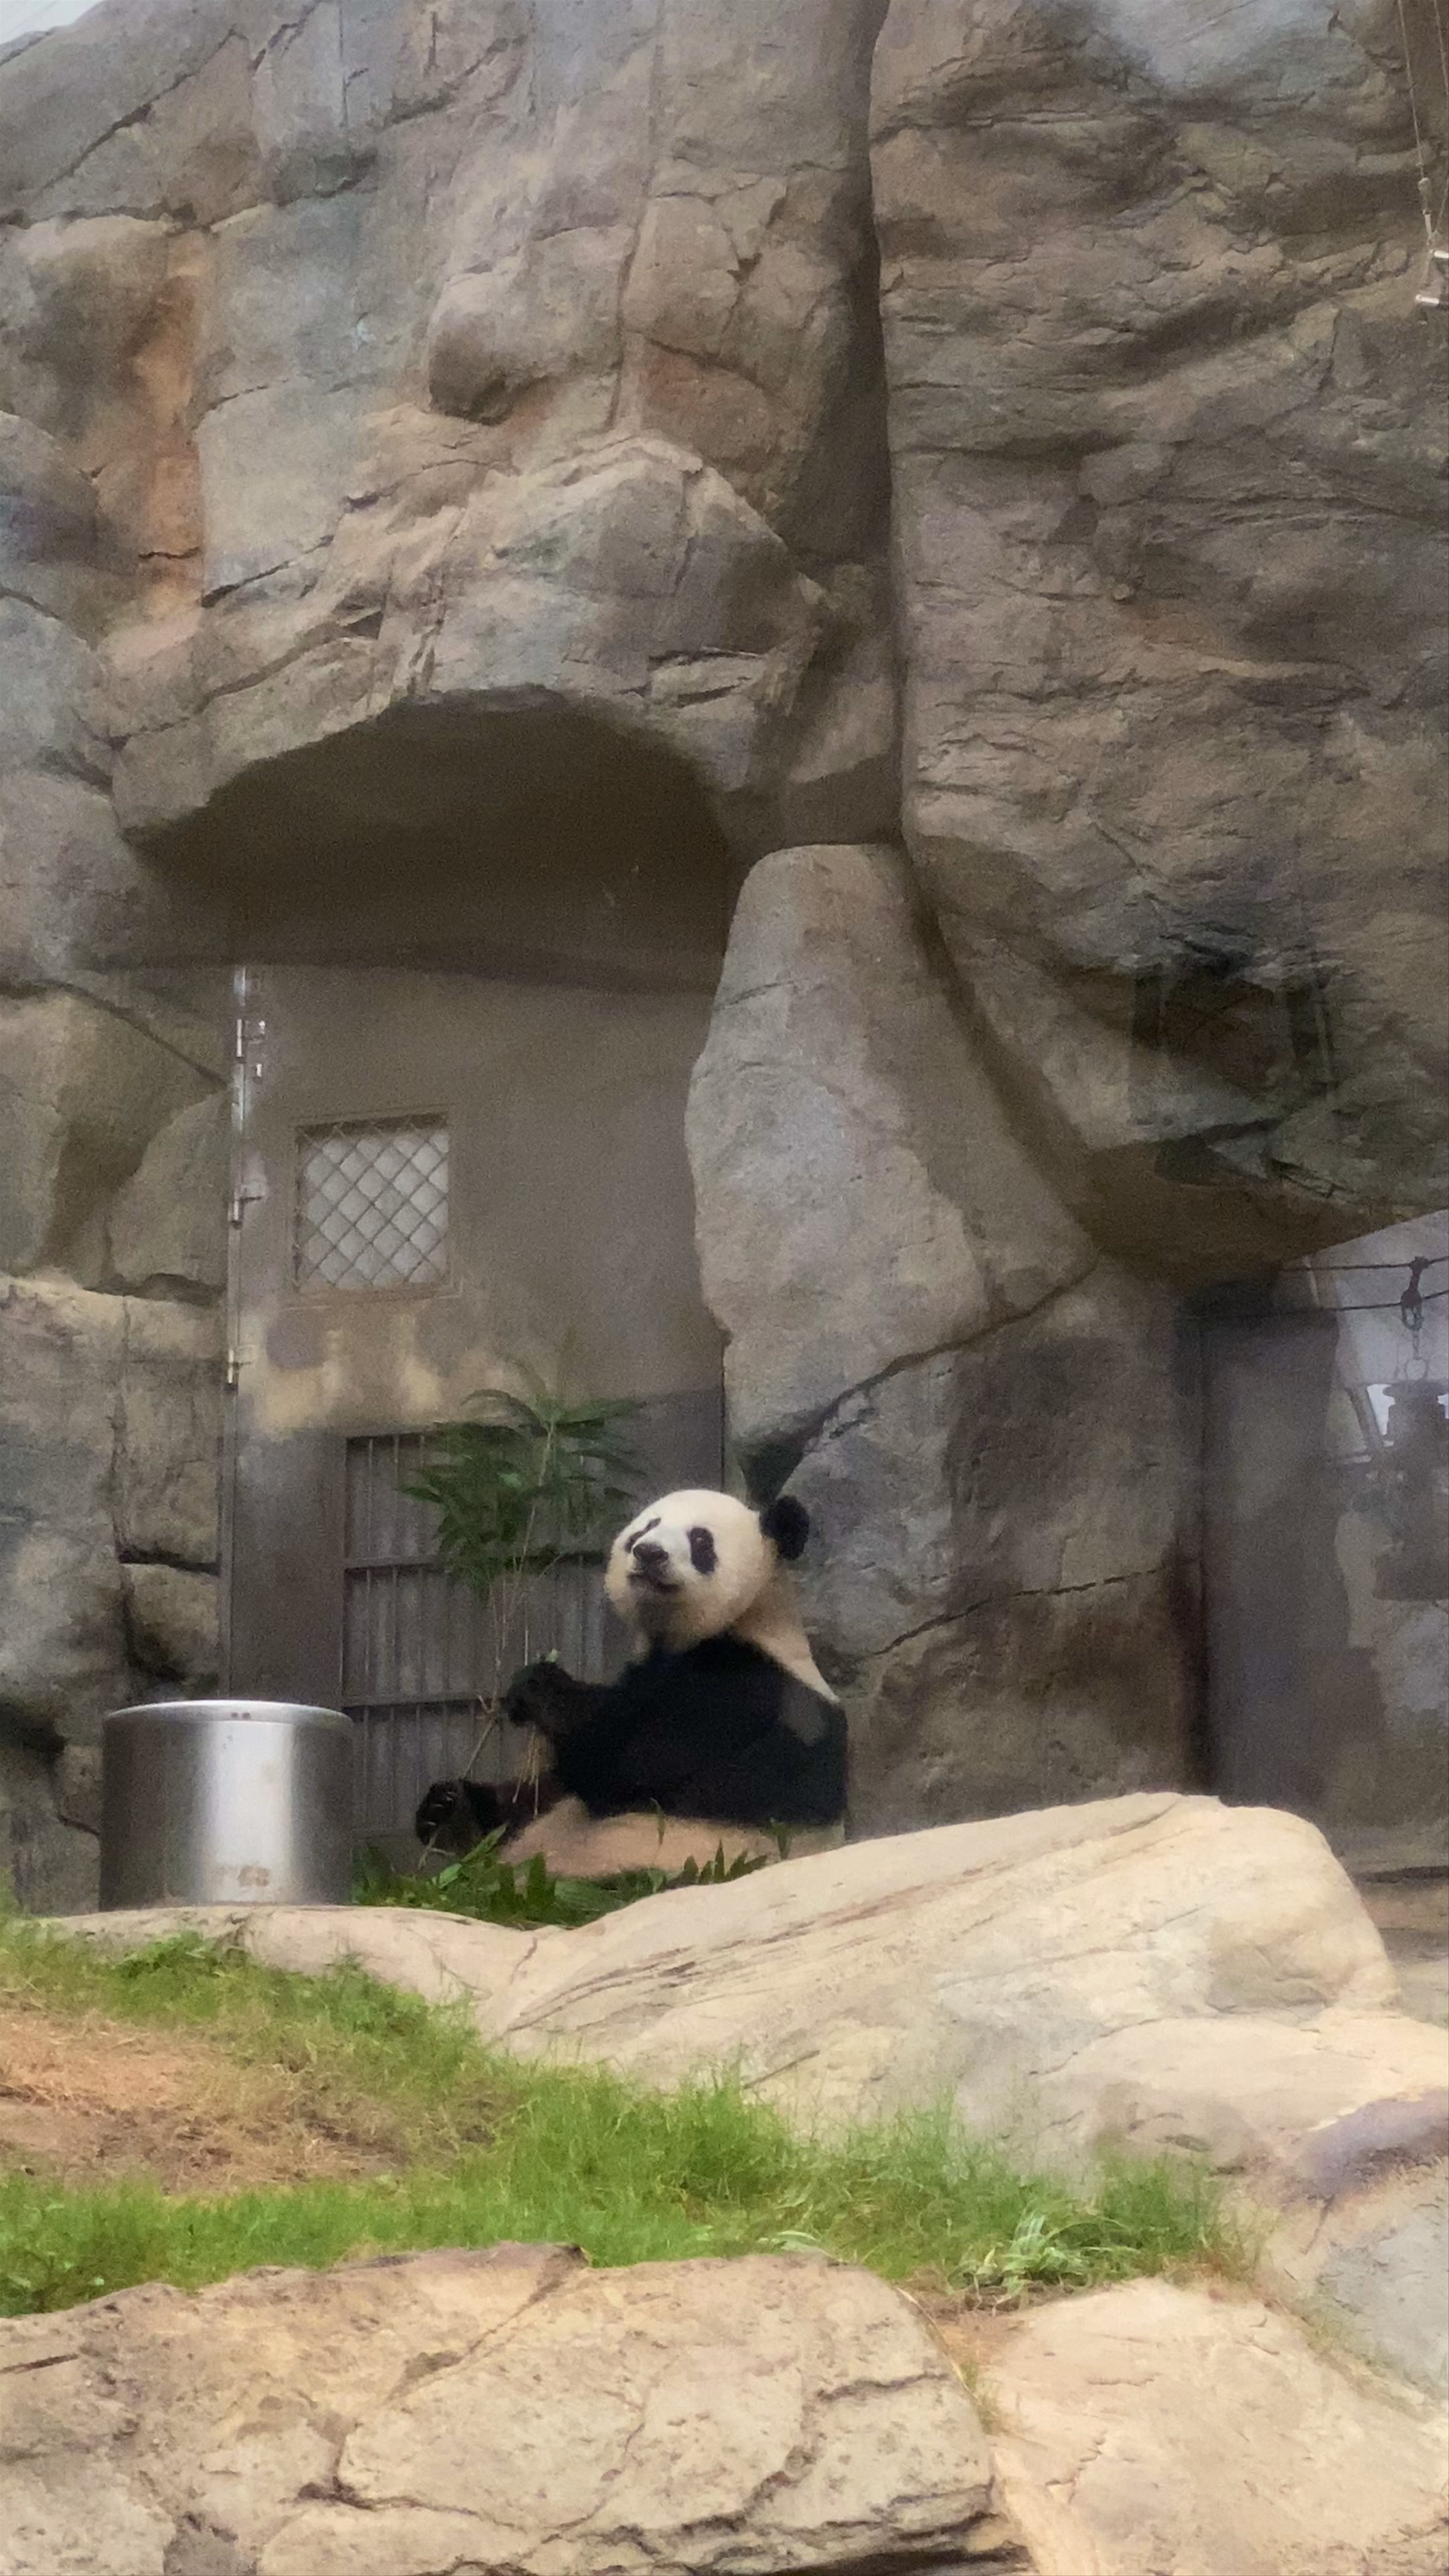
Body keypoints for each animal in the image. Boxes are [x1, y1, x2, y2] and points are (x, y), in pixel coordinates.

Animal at [415, 1488, 847, 1877]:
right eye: (647, 1527)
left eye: (701, 1540)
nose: (649, 1553)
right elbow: (544, 1790)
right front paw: (448, 1808)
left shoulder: (742, 1688)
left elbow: (627, 1763)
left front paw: (541, 1686)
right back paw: (453, 1812)